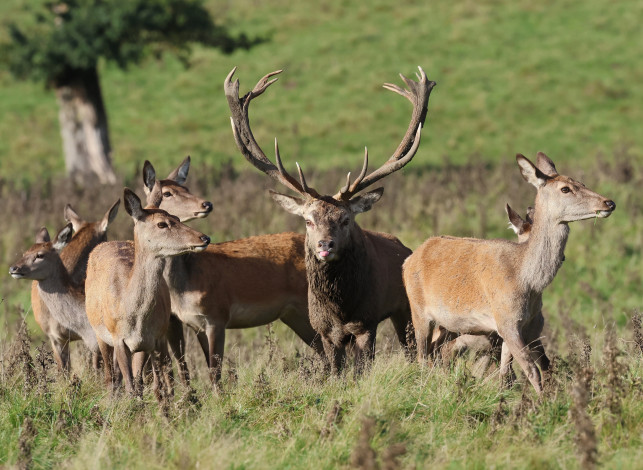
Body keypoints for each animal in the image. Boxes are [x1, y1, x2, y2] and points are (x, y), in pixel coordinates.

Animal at [85, 185, 210, 394]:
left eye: (176, 218)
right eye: (161, 224)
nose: (204, 237)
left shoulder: (149, 340)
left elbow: (140, 384)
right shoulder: (118, 338)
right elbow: (129, 385)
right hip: (99, 333)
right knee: (110, 377)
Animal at [223, 67, 438, 374]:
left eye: (346, 219)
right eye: (308, 221)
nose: (325, 245)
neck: (340, 309)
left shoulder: (366, 323)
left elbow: (362, 371)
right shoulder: (323, 330)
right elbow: (335, 373)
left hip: (405, 308)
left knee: (412, 347)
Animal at [406, 153, 616, 392]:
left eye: (582, 182)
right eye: (565, 189)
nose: (609, 202)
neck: (526, 280)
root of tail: (410, 258)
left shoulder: (521, 325)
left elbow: (507, 372)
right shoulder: (506, 320)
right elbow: (531, 370)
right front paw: (542, 401)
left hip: (447, 325)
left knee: (436, 352)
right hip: (418, 310)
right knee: (422, 355)